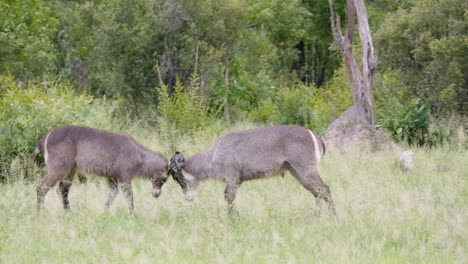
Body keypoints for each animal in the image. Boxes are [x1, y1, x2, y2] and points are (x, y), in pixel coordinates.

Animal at [30, 125, 168, 213]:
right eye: (164, 179)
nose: (156, 195)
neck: (139, 154)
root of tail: (43, 139)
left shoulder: (112, 177)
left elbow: (112, 195)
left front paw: (105, 212)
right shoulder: (124, 176)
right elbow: (129, 197)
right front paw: (133, 215)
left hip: (70, 170)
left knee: (62, 190)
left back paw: (69, 213)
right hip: (59, 168)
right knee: (42, 187)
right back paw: (40, 213)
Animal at [170, 126, 334, 217]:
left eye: (176, 177)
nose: (188, 199)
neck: (212, 156)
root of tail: (316, 137)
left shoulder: (232, 178)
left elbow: (228, 198)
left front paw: (234, 217)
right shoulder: (237, 181)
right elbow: (229, 198)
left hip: (305, 170)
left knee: (324, 189)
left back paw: (333, 217)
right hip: (297, 172)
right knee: (318, 192)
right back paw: (315, 217)